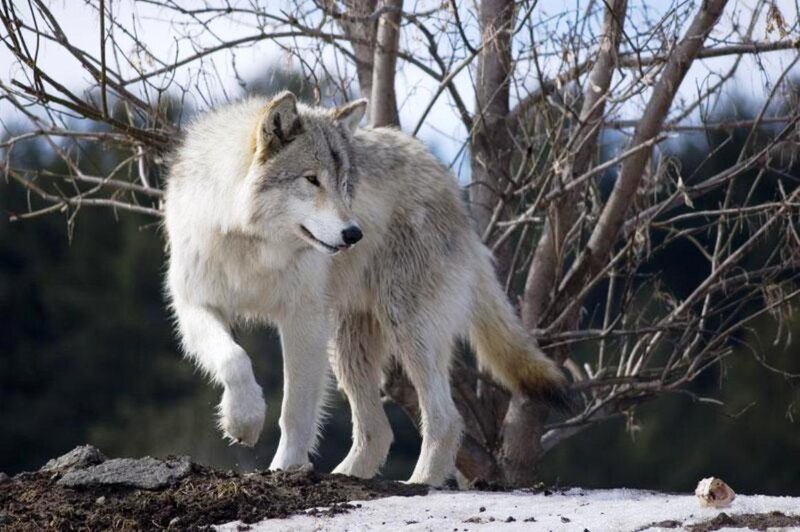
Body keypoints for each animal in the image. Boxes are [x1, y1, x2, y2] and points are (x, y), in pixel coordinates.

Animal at [164, 91, 566, 486]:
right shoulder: (195, 306)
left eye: (345, 184)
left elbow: (295, 411)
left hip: (407, 330)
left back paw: (419, 482)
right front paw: (244, 420)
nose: (353, 234)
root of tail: (449, 184)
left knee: (445, 420)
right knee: (379, 431)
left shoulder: (303, 322)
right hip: (347, 348)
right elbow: (233, 358)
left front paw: (282, 467)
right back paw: (349, 475)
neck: (255, 246)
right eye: (312, 180)